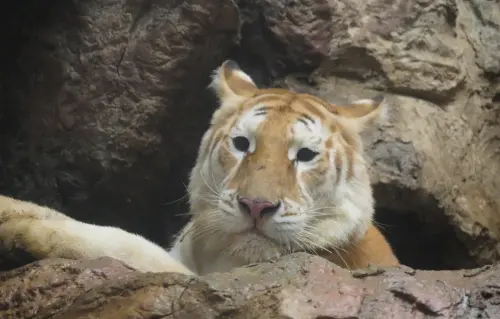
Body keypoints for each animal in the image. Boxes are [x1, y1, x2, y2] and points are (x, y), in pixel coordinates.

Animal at [0, 60, 398, 278]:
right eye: (242, 144)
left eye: (304, 155)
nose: (256, 206)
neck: (215, 254)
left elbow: (129, 245)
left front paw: (26, 231)